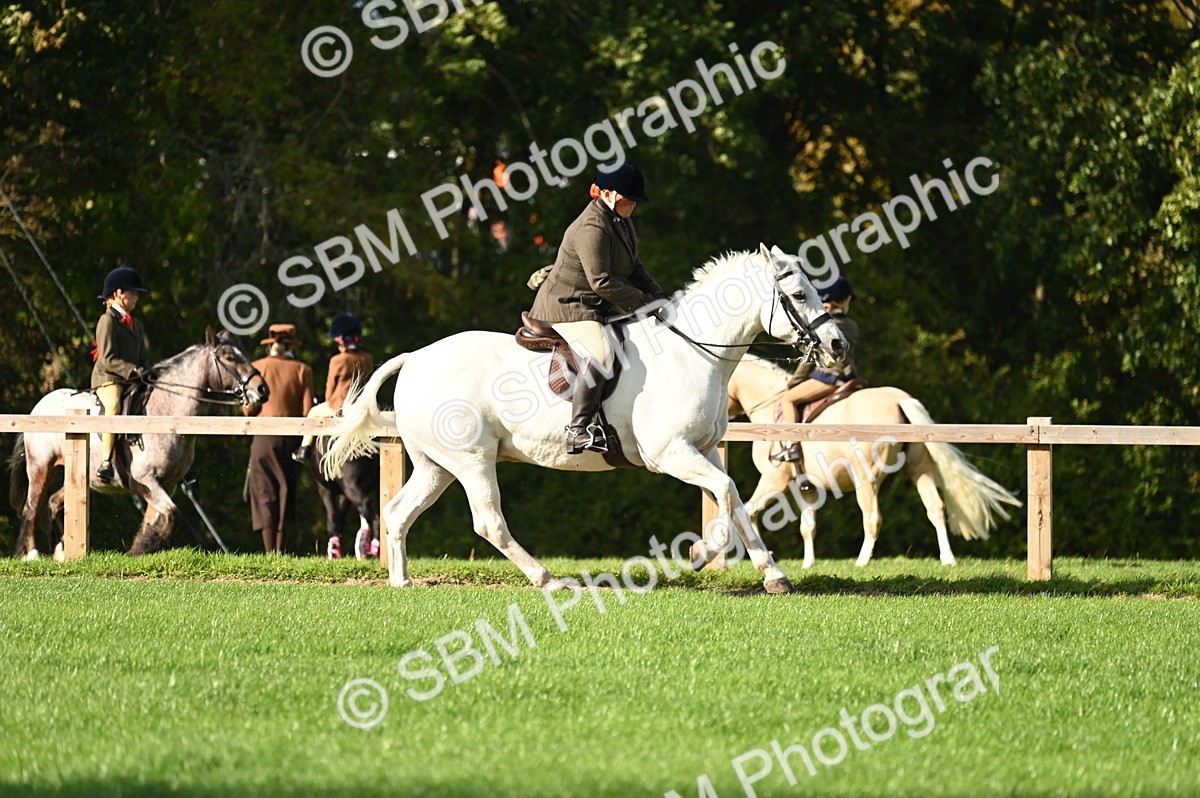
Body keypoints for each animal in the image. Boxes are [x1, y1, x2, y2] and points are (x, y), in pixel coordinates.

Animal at [9, 327, 269, 559]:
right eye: (229, 357)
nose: (262, 389)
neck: (166, 414)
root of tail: (39, 406)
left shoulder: (167, 483)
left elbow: (155, 519)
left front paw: (139, 548)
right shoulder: (145, 480)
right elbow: (173, 514)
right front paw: (145, 548)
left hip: (78, 476)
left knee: (53, 502)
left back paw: (61, 550)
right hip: (41, 467)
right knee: (31, 506)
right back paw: (31, 554)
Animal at [323, 244, 849, 593]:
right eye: (799, 294)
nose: (838, 345)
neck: (692, 352)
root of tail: (414, 358)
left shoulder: (703, 450)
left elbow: (733, 499)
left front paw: (772, 574)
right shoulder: (671, 454)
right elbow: (725, 493)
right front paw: (702, 556)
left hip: (437, 465)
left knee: (398, 512)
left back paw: (402, 581)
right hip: (472, 461)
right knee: (489, 522)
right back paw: (547, 579)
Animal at [726, 355, 1022, 568]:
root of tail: (899, 399)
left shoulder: (775, 479)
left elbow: (749, 511)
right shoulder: (807, 487)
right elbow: (807, 526)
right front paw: (808, 564)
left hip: (865, 480)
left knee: (873, 518)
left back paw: (862, 562)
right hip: (920, 469)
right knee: (935, 508)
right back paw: (947, 559)